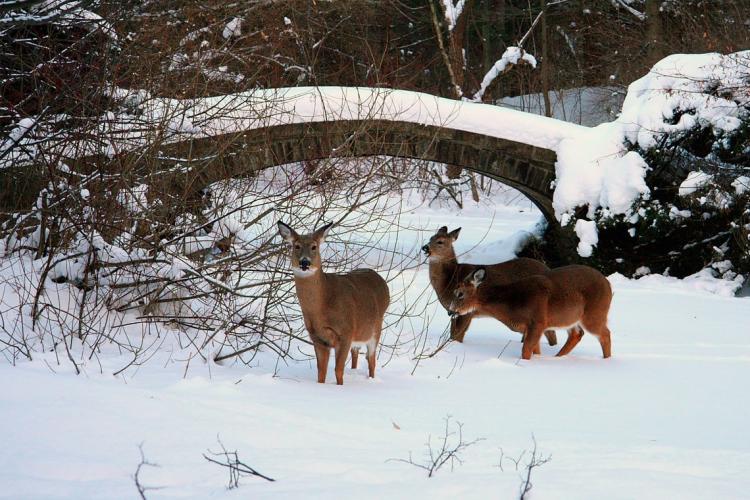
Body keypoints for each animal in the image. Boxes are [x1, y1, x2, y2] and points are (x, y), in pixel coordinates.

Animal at [277, 221, 390, 385]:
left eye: (314, 246)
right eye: (296, 246)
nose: (304, 262)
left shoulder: (346, 332)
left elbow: (338, 370)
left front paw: (339, 387)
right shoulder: (318, 338)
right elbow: (321, 372)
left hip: (375, 329)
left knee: (371, 360)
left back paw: (371, 379)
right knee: (356, 353)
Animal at [422, 226, 557, 349]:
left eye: (440, 241)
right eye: (431, 238)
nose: (425, 247)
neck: (450, 279)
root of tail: (549, 270)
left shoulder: (467, 311)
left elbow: (458, 336)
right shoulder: (453, 311)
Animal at [448, 265, 613, 360]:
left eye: (459, 294)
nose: (450, 311)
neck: (512, 303)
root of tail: (608, 284)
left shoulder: (538, 321)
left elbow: (525, 351)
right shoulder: (531, 328)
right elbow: (535, 351)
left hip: (594, 313)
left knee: (605, 333)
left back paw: (607, 360)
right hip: (571, 318)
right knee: (577, 334)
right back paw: (558, 357)